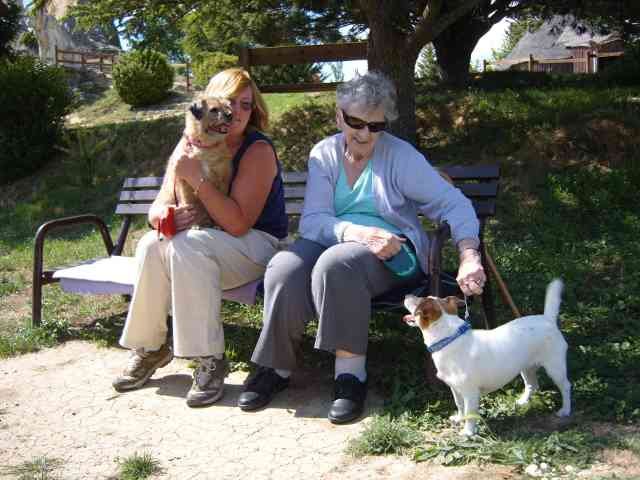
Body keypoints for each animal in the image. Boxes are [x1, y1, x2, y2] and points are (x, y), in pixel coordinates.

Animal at [402, 280, 572, 436]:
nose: (407, 294)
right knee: (532, 385)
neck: (450, 339)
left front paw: (468, 432)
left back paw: (565, 410)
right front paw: (459, 418)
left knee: (565, 386)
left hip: (555, 368)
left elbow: (470, 414)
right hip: (526, 368)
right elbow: (459, 405)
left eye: (418, 301)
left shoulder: (470, 393)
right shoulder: (455, 389)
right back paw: (523, 401)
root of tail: (548, 319)